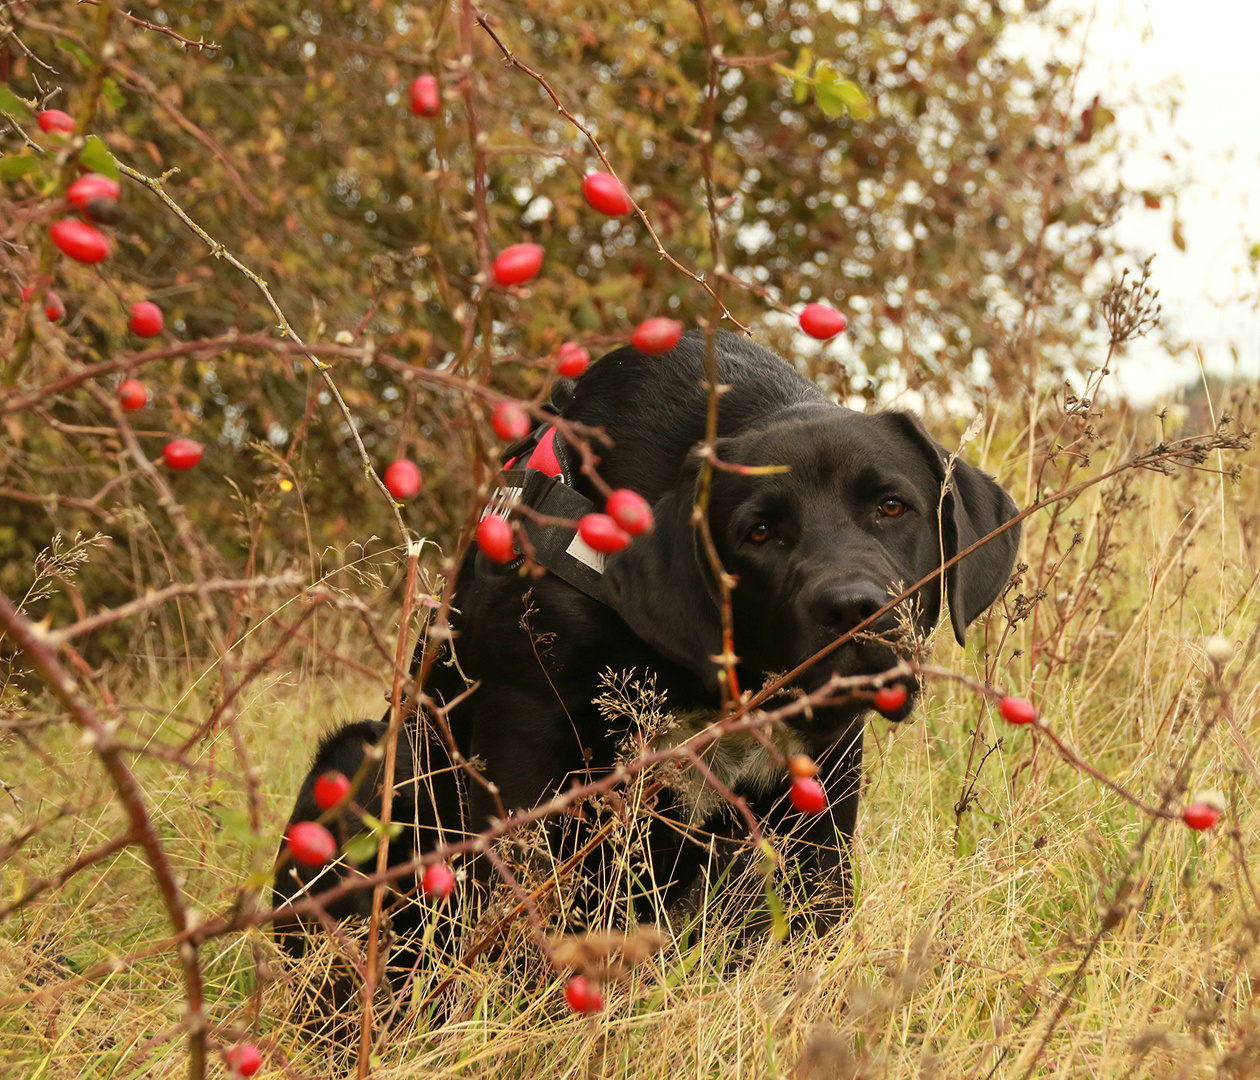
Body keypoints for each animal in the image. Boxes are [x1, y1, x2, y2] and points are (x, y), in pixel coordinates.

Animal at [273, 330, 1013, 993]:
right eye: (759, 532)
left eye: (892, 506)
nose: (854, 607)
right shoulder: (524, 736)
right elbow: (524, 920)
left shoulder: (825, 778)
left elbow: (815, 915)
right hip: (364, 767)